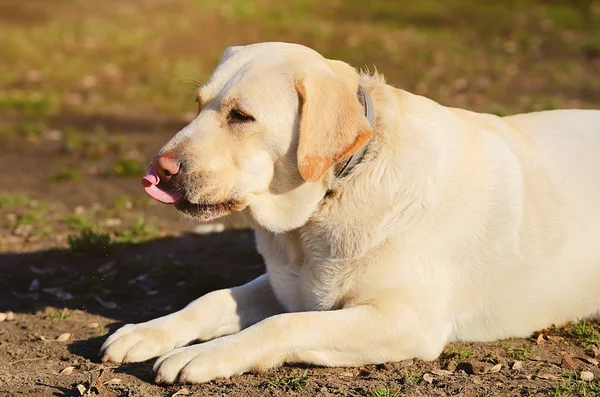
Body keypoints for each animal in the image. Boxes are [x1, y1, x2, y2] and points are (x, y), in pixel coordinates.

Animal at [99, 41, 600, 382]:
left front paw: (203, 355)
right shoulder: (287, 284)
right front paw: (147, 331)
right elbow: (213, 298)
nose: (157, 170)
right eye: (199, 105)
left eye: (241, 117)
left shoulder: (405, 320)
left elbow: (282, 324)